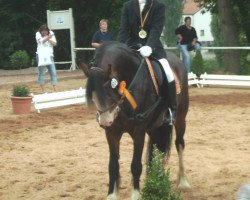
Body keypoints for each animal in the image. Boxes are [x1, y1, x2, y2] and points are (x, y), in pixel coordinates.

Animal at [79, 41, 190, 200]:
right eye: (93, 95)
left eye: (110, 92)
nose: (105, 122)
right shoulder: (112, 132)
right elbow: (113, 165)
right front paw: (112, 195)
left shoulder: (139, 131)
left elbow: (136, 165)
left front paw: (136, 194)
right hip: (154, 127)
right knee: (154, 153)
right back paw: (154, 181)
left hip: (180, 117)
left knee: (179, 144)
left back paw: (183, 181)